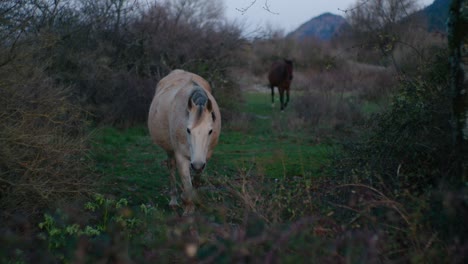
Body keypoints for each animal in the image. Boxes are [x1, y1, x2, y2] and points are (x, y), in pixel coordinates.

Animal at [148, 70, 221, 217]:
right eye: (188, 130)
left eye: (210, 131)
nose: (197, 164)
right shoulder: (181, 156)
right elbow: (187, 184)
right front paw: (188, 210)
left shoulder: (205, 157)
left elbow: (196, 181)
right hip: (170, 150)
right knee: (171, 167)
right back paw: (174, 201)